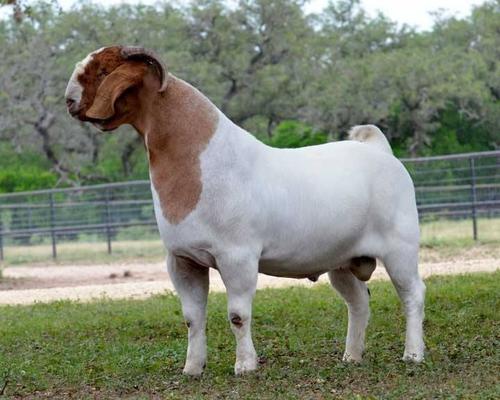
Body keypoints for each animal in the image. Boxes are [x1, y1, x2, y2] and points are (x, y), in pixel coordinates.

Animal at [65, 46, 426, 376]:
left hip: (400, 247)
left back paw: (412, 354)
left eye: (103, 70)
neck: (200, 164)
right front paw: (192, 369)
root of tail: (380, 150)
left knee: (413, 295)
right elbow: (192, 318)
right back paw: (351, 356)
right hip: (341, 260)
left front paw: (245, 366)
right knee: (359, 301)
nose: (69, 101)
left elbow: (238, 314)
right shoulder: (182, 260)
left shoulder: (237, 256)